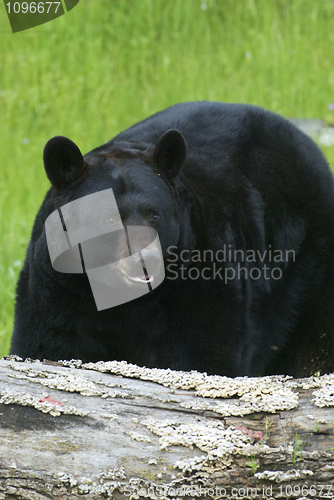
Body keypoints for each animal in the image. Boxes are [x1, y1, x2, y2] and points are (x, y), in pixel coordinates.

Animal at [10, 101, 334, 376]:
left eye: (154, 215)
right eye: (109, 219)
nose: (145, 260)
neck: (124, 299)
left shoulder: (202, 276)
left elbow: (202, 352)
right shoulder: (58, 288)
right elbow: (48, 343)